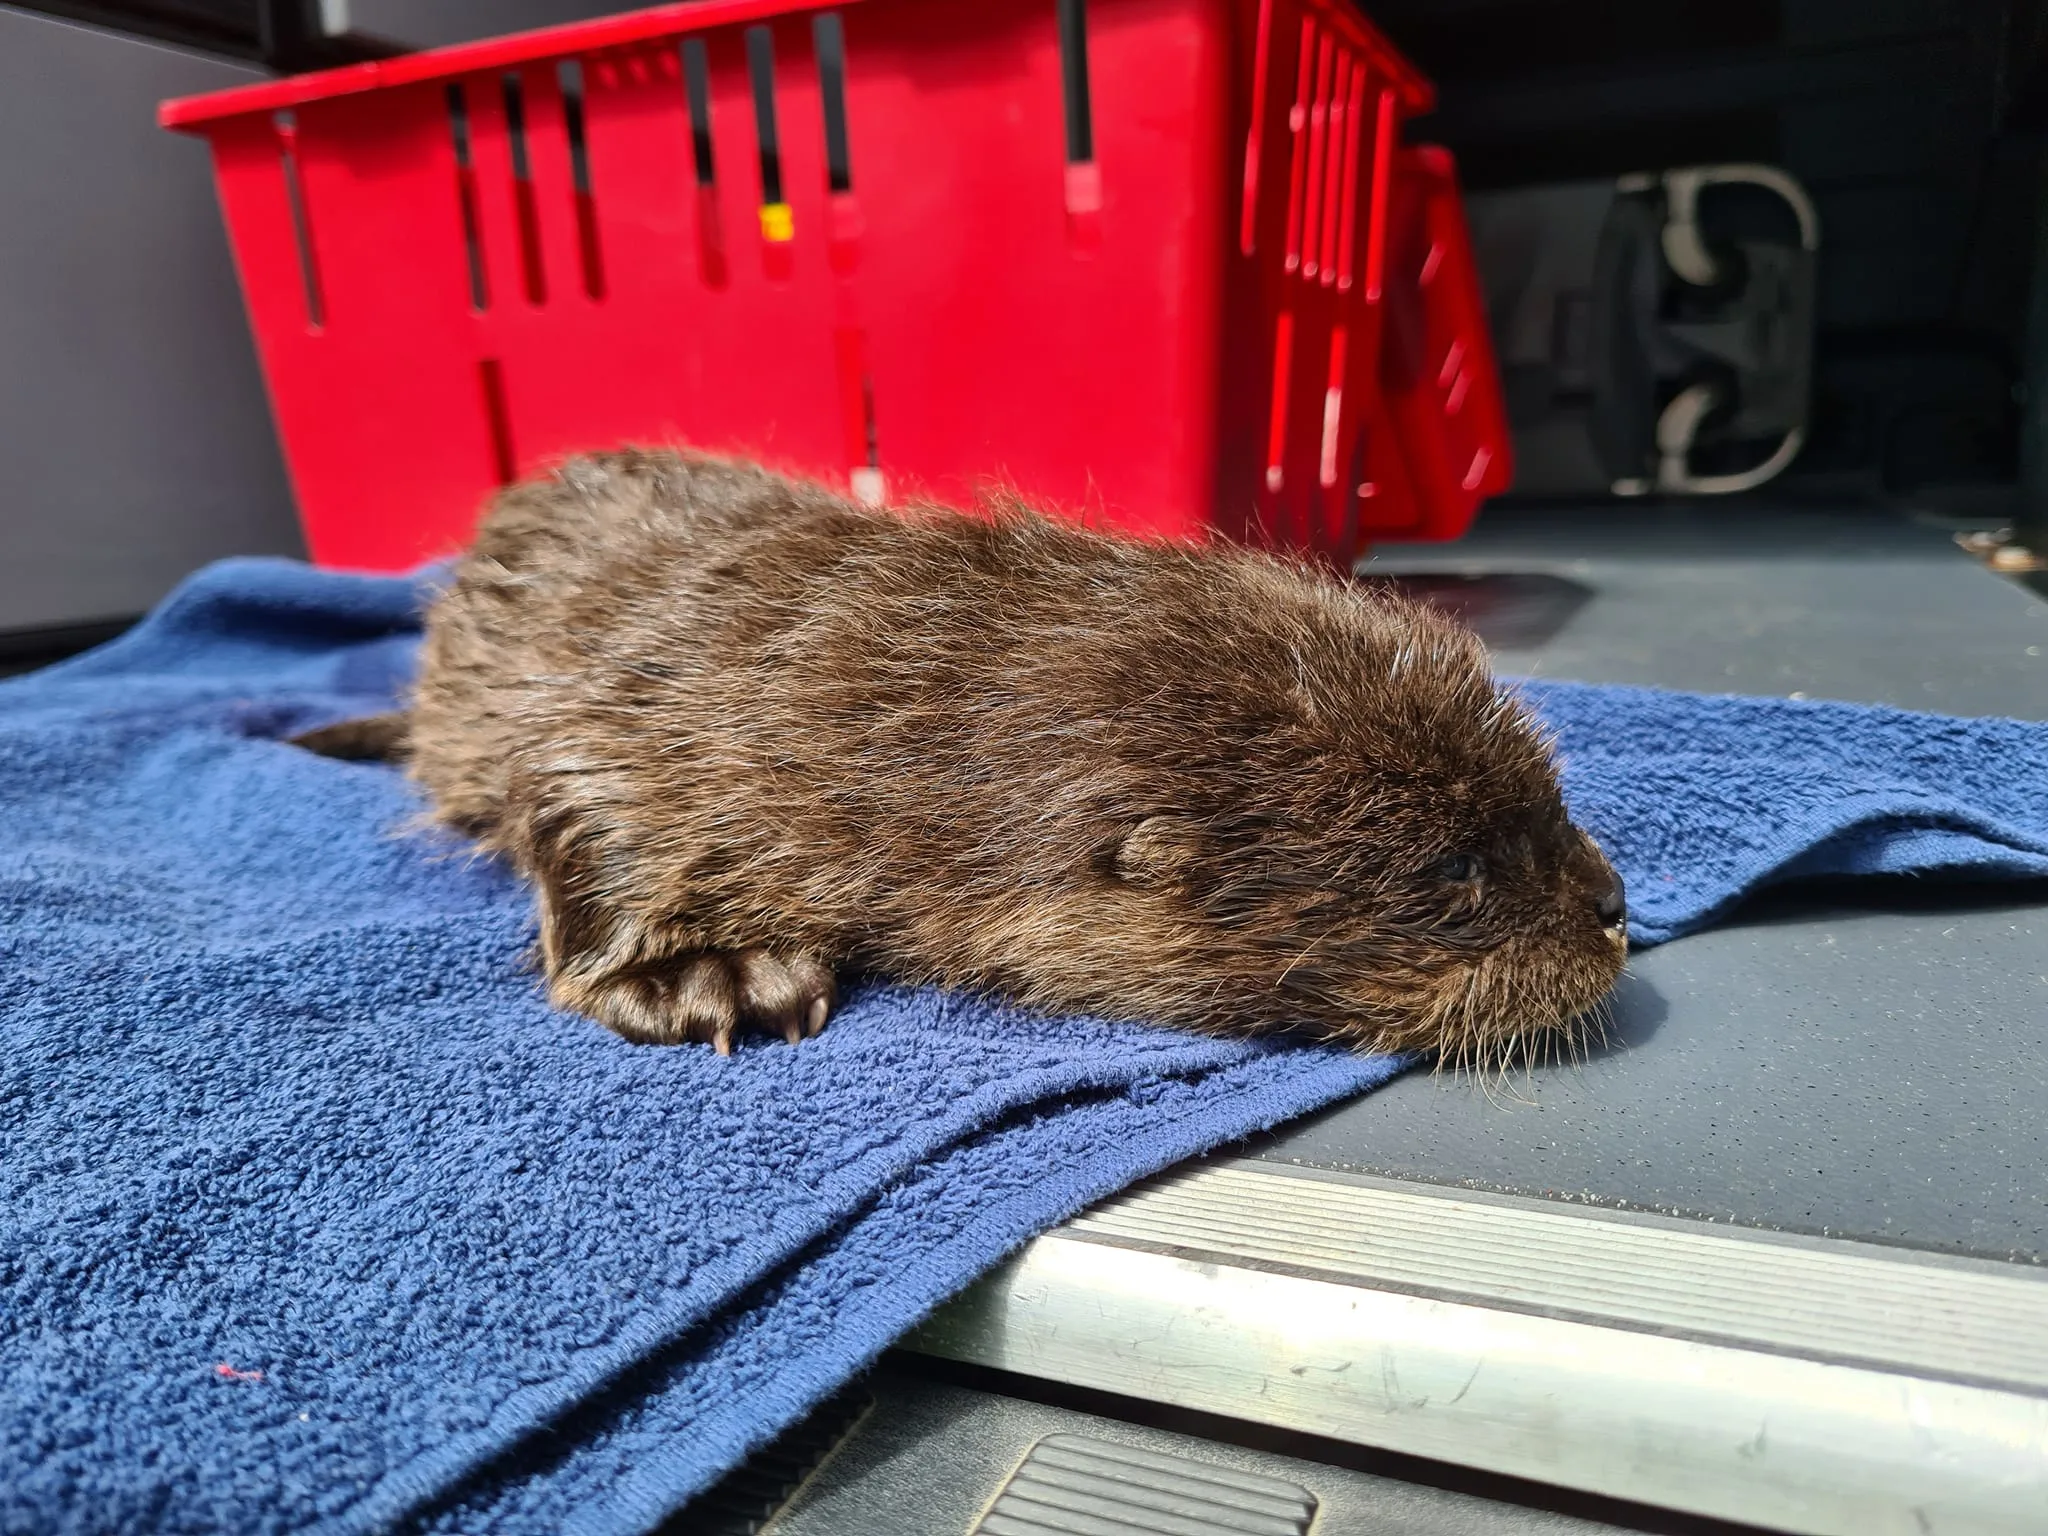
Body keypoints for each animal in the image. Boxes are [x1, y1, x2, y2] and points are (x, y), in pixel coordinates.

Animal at [294, 450, 1627, 1060]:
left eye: (1547, 798)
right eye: (1456, 874)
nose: (1614, 908)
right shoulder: (642, 718)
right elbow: (567, 798)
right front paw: (702, 977)